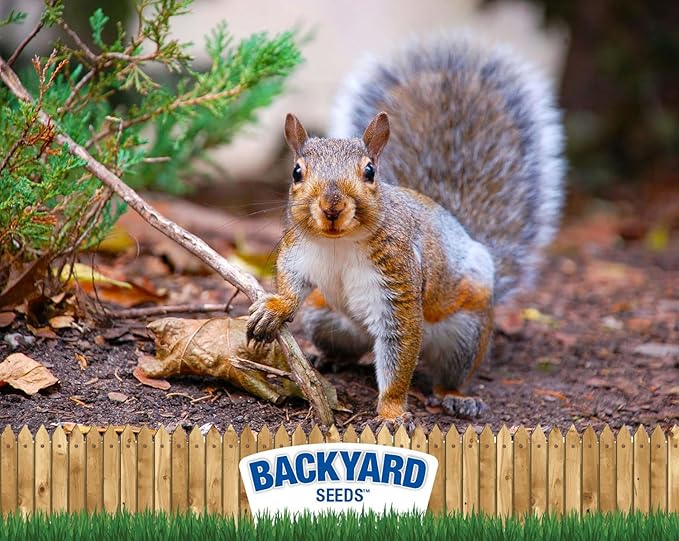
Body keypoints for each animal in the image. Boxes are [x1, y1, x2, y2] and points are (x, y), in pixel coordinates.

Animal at [247, 36, 565, 421]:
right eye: (296, 172)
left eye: (370, 171)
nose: (332, 207)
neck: (339, 243)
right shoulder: (298, 251)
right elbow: (291, 283)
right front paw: (275, 308)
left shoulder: (397, 280)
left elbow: (400, 352)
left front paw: (392, 412)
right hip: (324, 318)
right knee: (346, 347)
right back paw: (327, 358)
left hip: (466, 331)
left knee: (449, 369)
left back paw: (456, 395)